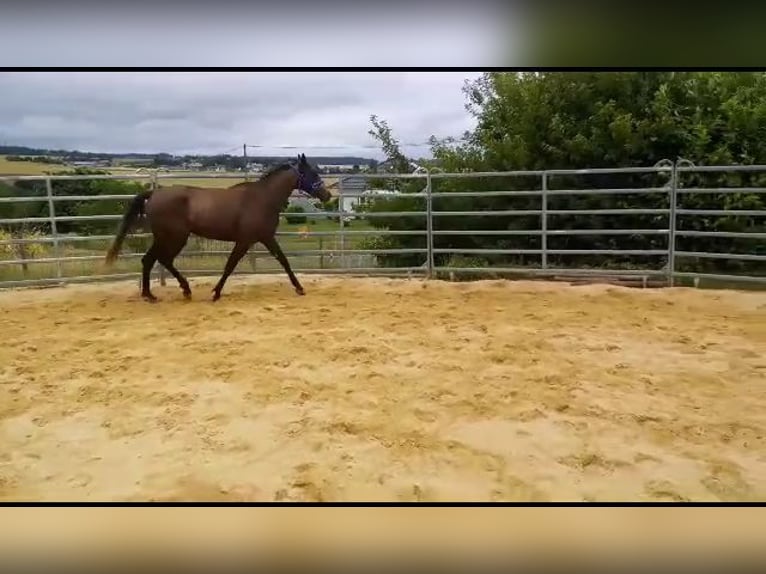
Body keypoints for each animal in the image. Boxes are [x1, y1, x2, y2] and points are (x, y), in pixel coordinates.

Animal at [104, 153, 330, 306]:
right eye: (312, 173)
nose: (327, 195)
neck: (263, 199)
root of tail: (154, 194)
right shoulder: (245, 240)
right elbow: (230, 266)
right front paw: (215, 293)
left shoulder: (266, 237)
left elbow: (283, 261)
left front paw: (299, 288)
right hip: (174, 237)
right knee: (160, 260)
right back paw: (177, 291)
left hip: (166, 237)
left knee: (151, 260)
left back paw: (152, 294)